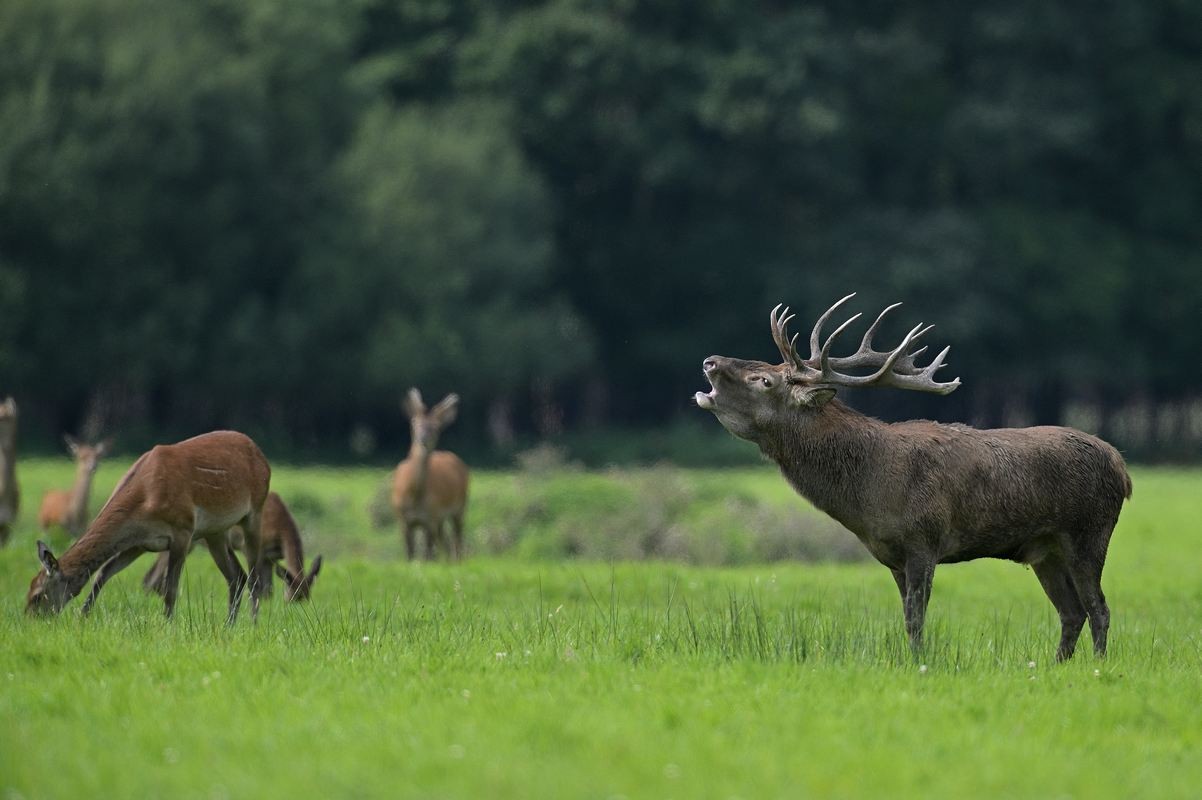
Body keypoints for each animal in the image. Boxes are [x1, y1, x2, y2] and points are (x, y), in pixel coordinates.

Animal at [26, 427, 272, 619]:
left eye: (38, 596)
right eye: (28, 590)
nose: (29, 620)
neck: (145, 498)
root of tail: (262, 456)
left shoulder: (183, 529)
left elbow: (170, 588)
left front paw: (169, 626)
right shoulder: (139, 542)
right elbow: (103, 573)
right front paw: (82, 618)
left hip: (255, 511)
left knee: (253, 577)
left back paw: (253, 623)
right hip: (215, 532)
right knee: (237, 576)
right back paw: (229, 625)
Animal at [143, 490, 324, 600]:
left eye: (306, 598)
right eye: (292, 598)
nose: (295, 604)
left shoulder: (270, 557)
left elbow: (269, 590)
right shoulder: (251, 548)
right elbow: (261, 585)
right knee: (151, 577)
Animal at [394, 389, 468, 557]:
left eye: (436, 427)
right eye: (414, 423)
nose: (423, 439)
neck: (414, 497)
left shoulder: (430, 519)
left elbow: (426, 554)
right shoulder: (403, 520)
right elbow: (410, 555)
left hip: (460, 506)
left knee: (456, 542)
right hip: (440, 519)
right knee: (446, 543)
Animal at [701, 295, 1129, 658]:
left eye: (764, 380)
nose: (710, 361)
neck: (869, 488)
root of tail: (1122, 469)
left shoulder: (924, 538)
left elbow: (916, 619)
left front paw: (919, 662)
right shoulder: (891, 554)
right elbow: (908, 617)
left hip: (1090, 533)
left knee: (1098, 608)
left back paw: (1097, 666)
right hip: (1045, 549)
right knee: (1072, 612)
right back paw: (1057, 665)